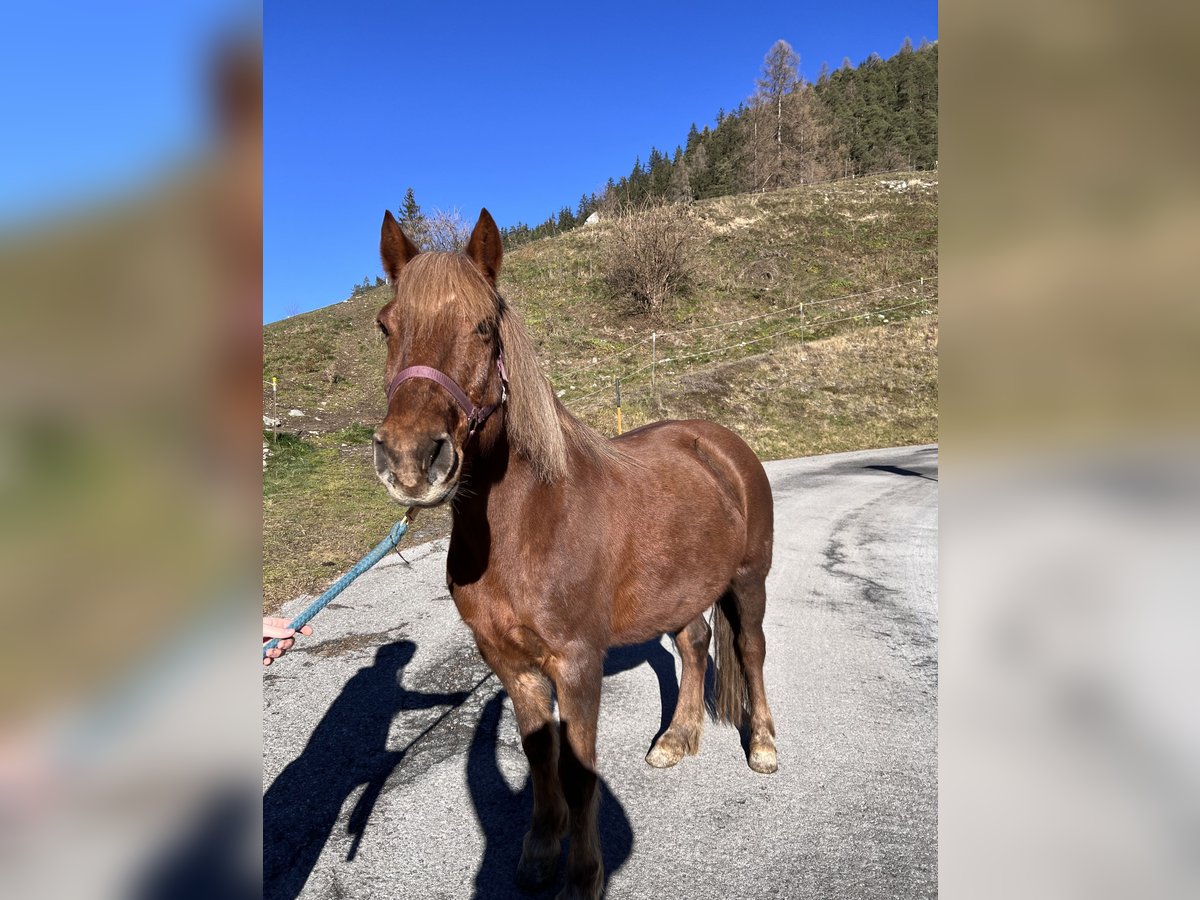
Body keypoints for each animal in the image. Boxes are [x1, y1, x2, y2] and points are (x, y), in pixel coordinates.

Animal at [369, 210, 777, 897]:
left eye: (483, 327)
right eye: (386, 326)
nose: (409, 460)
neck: (531, 524)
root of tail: (721, 443)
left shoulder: (579, 663)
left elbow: (581, 772)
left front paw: (584, 877)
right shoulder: (512, 664)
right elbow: (541, 757)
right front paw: (539, 853)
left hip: (749, 582)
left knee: (749, 650)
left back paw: (765, 745)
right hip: (683, 589)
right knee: (695, 646)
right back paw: (678, 737)